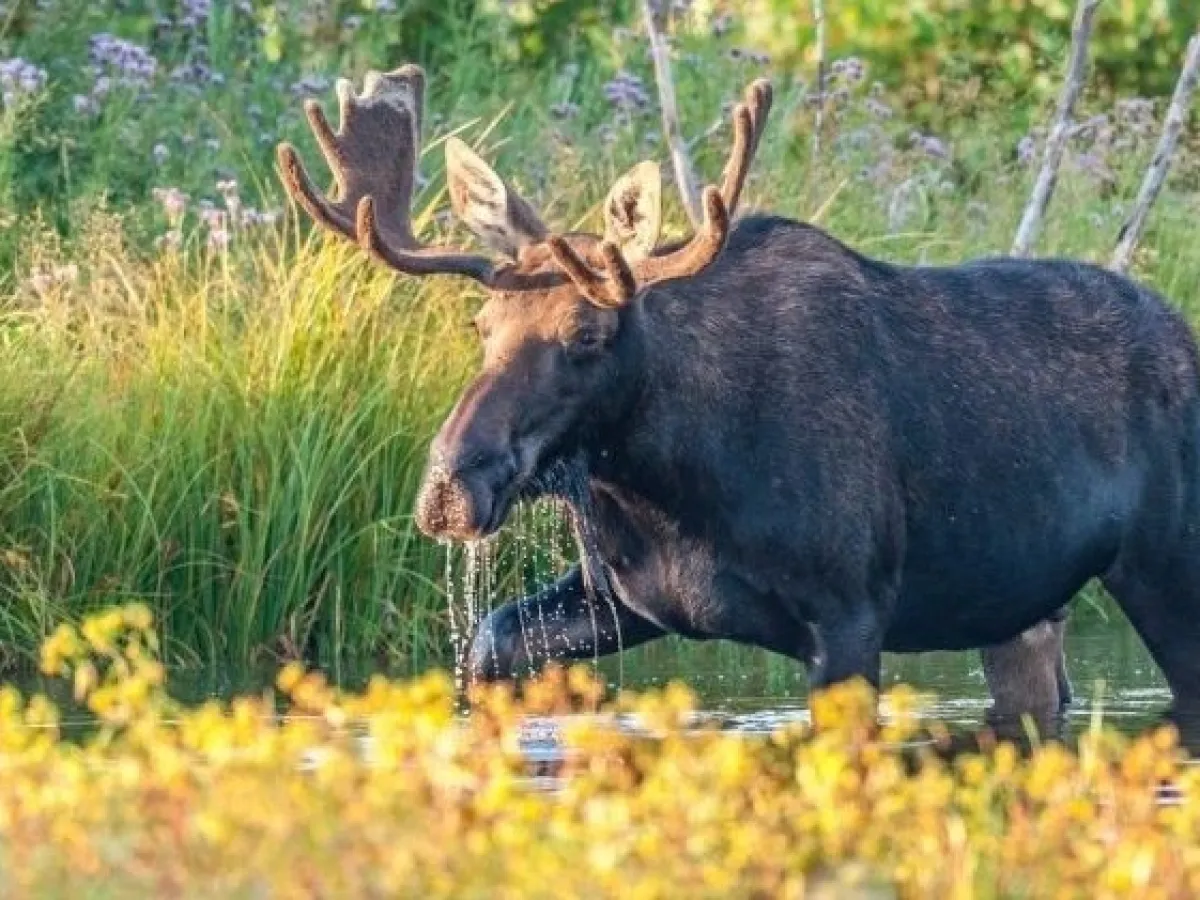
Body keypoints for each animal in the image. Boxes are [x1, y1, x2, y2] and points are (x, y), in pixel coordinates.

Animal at [277, 64, 1200, 747]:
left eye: (587, 333)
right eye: (482, 325)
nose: (450, 485)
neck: (672, 478)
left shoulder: (852, 606)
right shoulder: (630, 592)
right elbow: (491, 642)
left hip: (1165, 563)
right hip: (1022, 606)